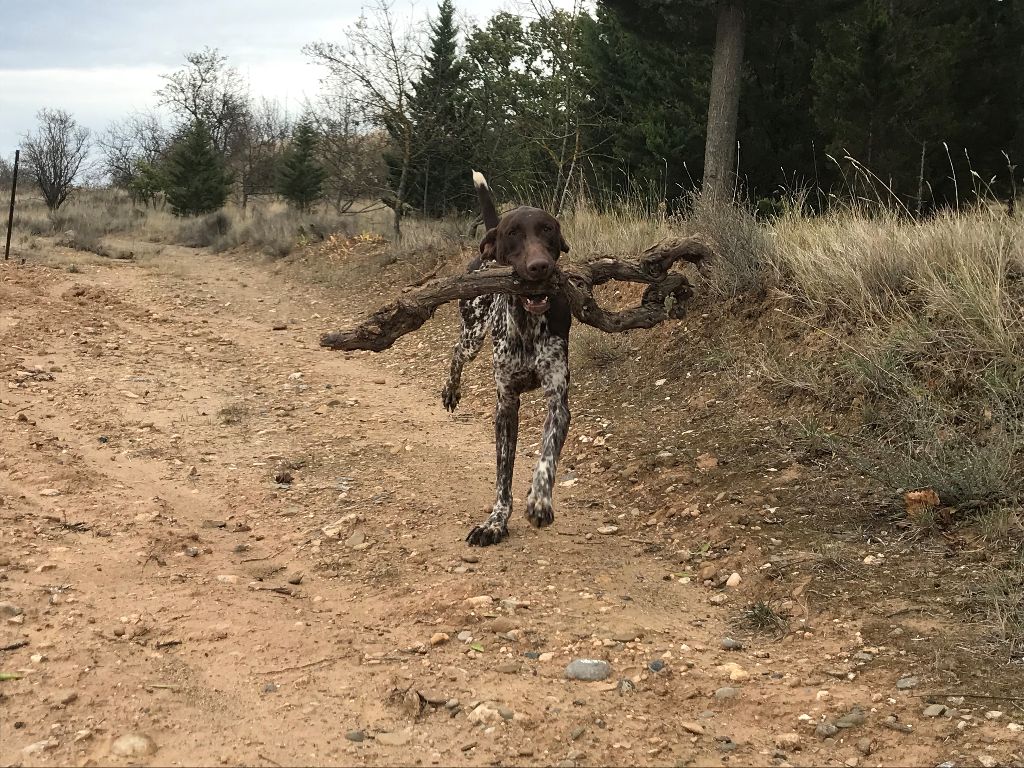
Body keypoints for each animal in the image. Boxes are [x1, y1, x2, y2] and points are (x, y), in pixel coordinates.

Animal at [442, 173, 573, 548]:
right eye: (513, 233)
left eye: (548, 229)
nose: (539, 267)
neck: (528, 326)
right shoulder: (506, 406)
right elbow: (503, 474)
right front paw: (496, 522)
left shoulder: (558, 401)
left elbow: (546, 456)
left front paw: (540, 500)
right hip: (473, 332)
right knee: (457, 351)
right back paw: (451, 389)